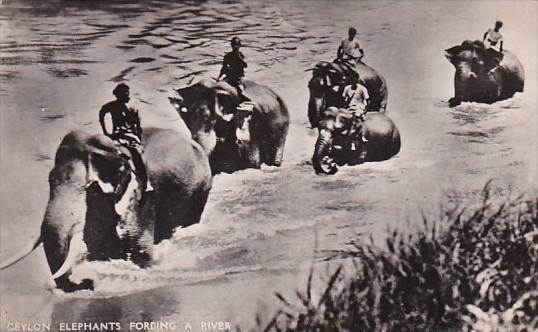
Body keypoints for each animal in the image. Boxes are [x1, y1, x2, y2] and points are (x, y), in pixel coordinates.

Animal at [1, 128, 213, 292]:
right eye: (50, 181)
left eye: (91, 189)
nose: (86, 280)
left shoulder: (141, 200)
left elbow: (141, 256)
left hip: (200, 190)